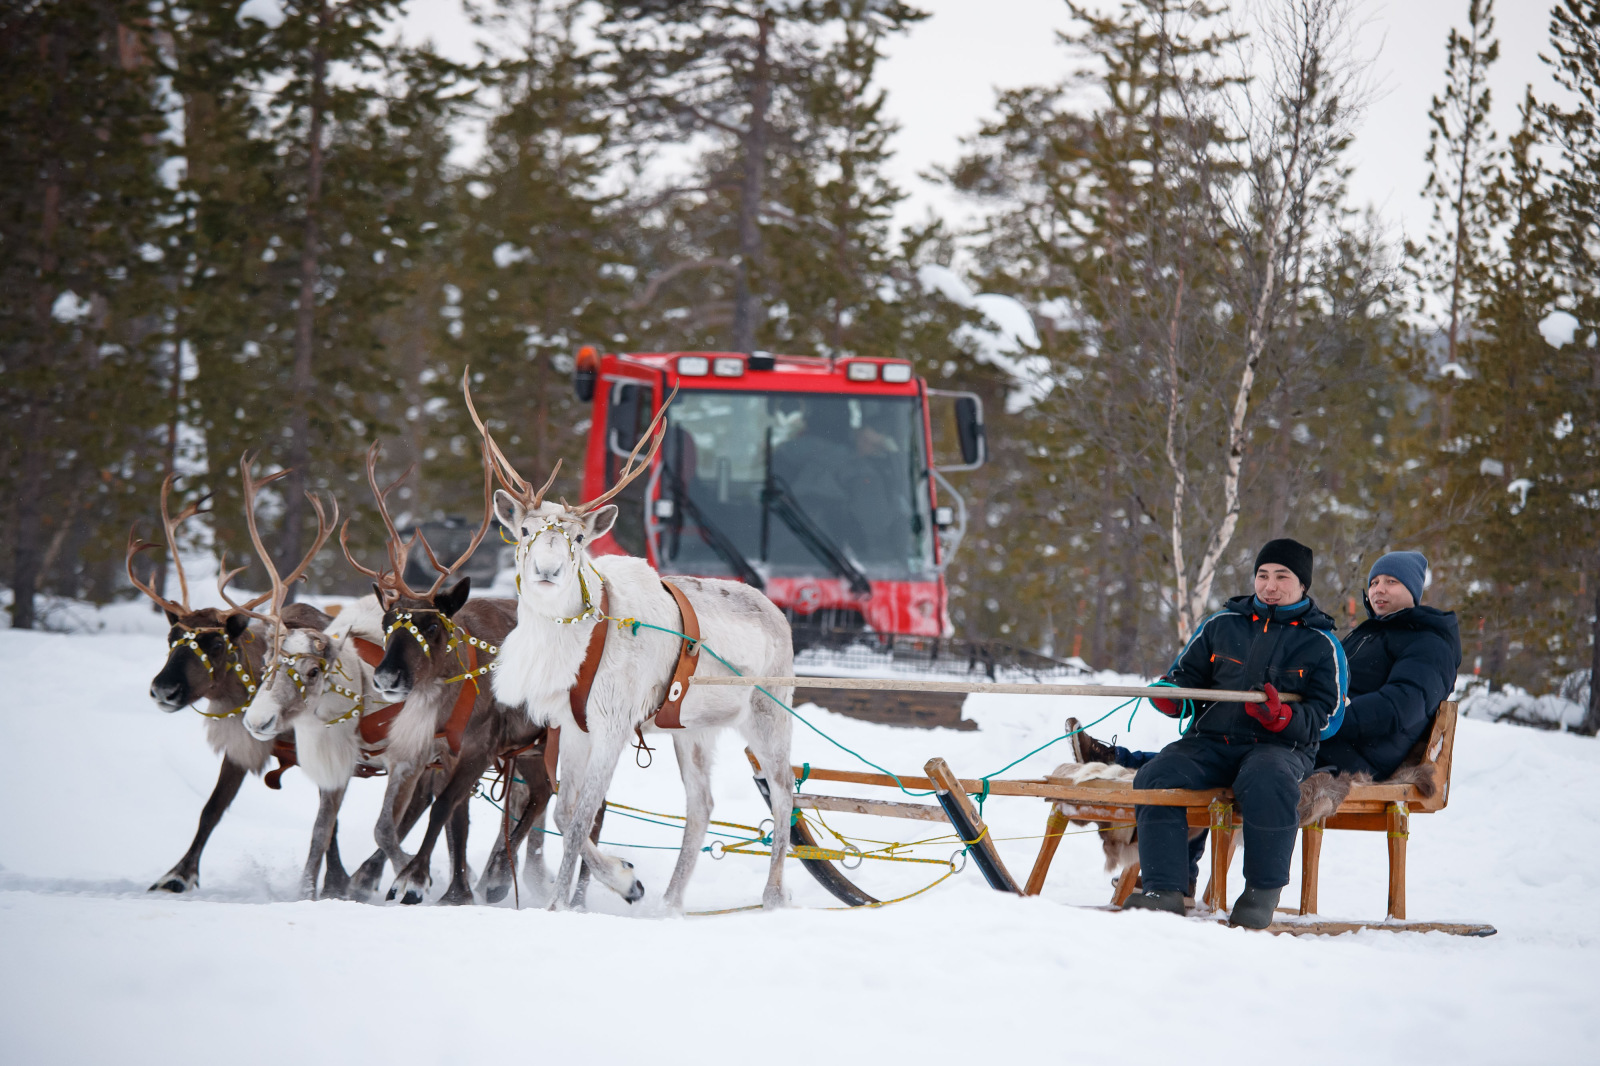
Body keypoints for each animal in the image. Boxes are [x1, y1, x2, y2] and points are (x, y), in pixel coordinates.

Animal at [129, 475, 344, 894]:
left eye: (215, 643)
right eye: (171, 637)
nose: (163, 690)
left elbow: (330, 825)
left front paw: (339, 884)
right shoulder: (240, 746)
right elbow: (211, 808)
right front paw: (176, 875)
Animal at [465, 370, 797, 913]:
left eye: (579, 538)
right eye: (526, 530)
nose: (547, 571)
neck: (570, 644)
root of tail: (778, 614)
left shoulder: (613, 725)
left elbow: (579, 819)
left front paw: (558, 906)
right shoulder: (571, 727)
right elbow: (565, 814)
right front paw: (625, 879)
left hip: (769, 713)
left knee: (785, 791)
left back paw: (771, 896)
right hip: (692, 729)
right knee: (701, 803)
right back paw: (670, 903)